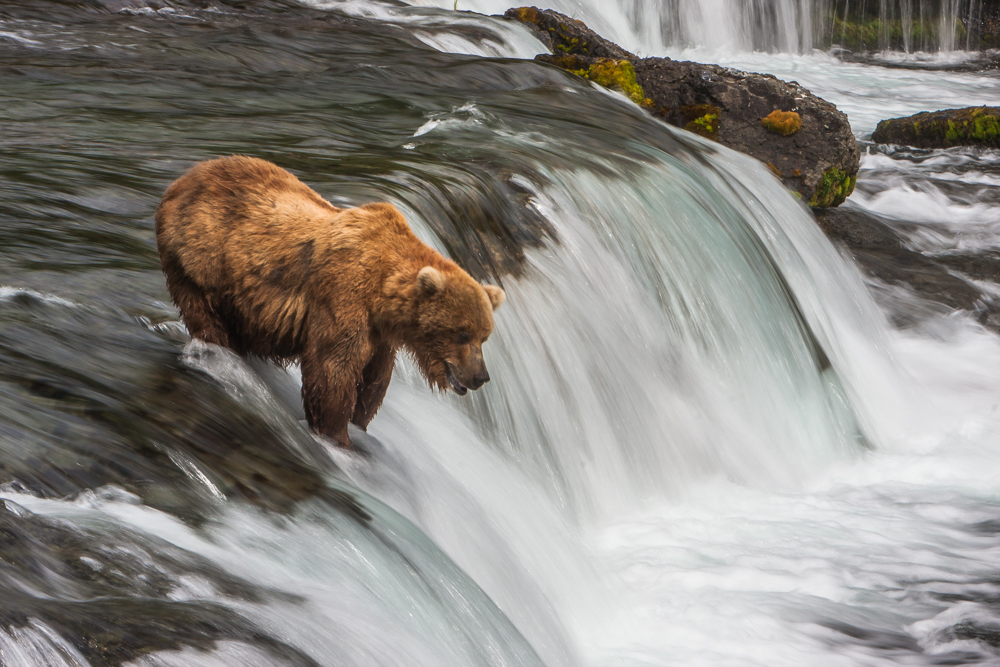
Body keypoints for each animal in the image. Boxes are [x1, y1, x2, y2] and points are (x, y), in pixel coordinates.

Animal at [154, 156, 505, 449]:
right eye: (462, 333)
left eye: (484, 336)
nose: (480, 377)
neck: (382, 294)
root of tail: (183, 178)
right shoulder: (343, 297)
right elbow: (333, 370)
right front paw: (337, 436)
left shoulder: (381, 335)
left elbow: (375, 381)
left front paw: (359, 422)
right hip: (200, 256)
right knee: (204, 312)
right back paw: (218, 352)